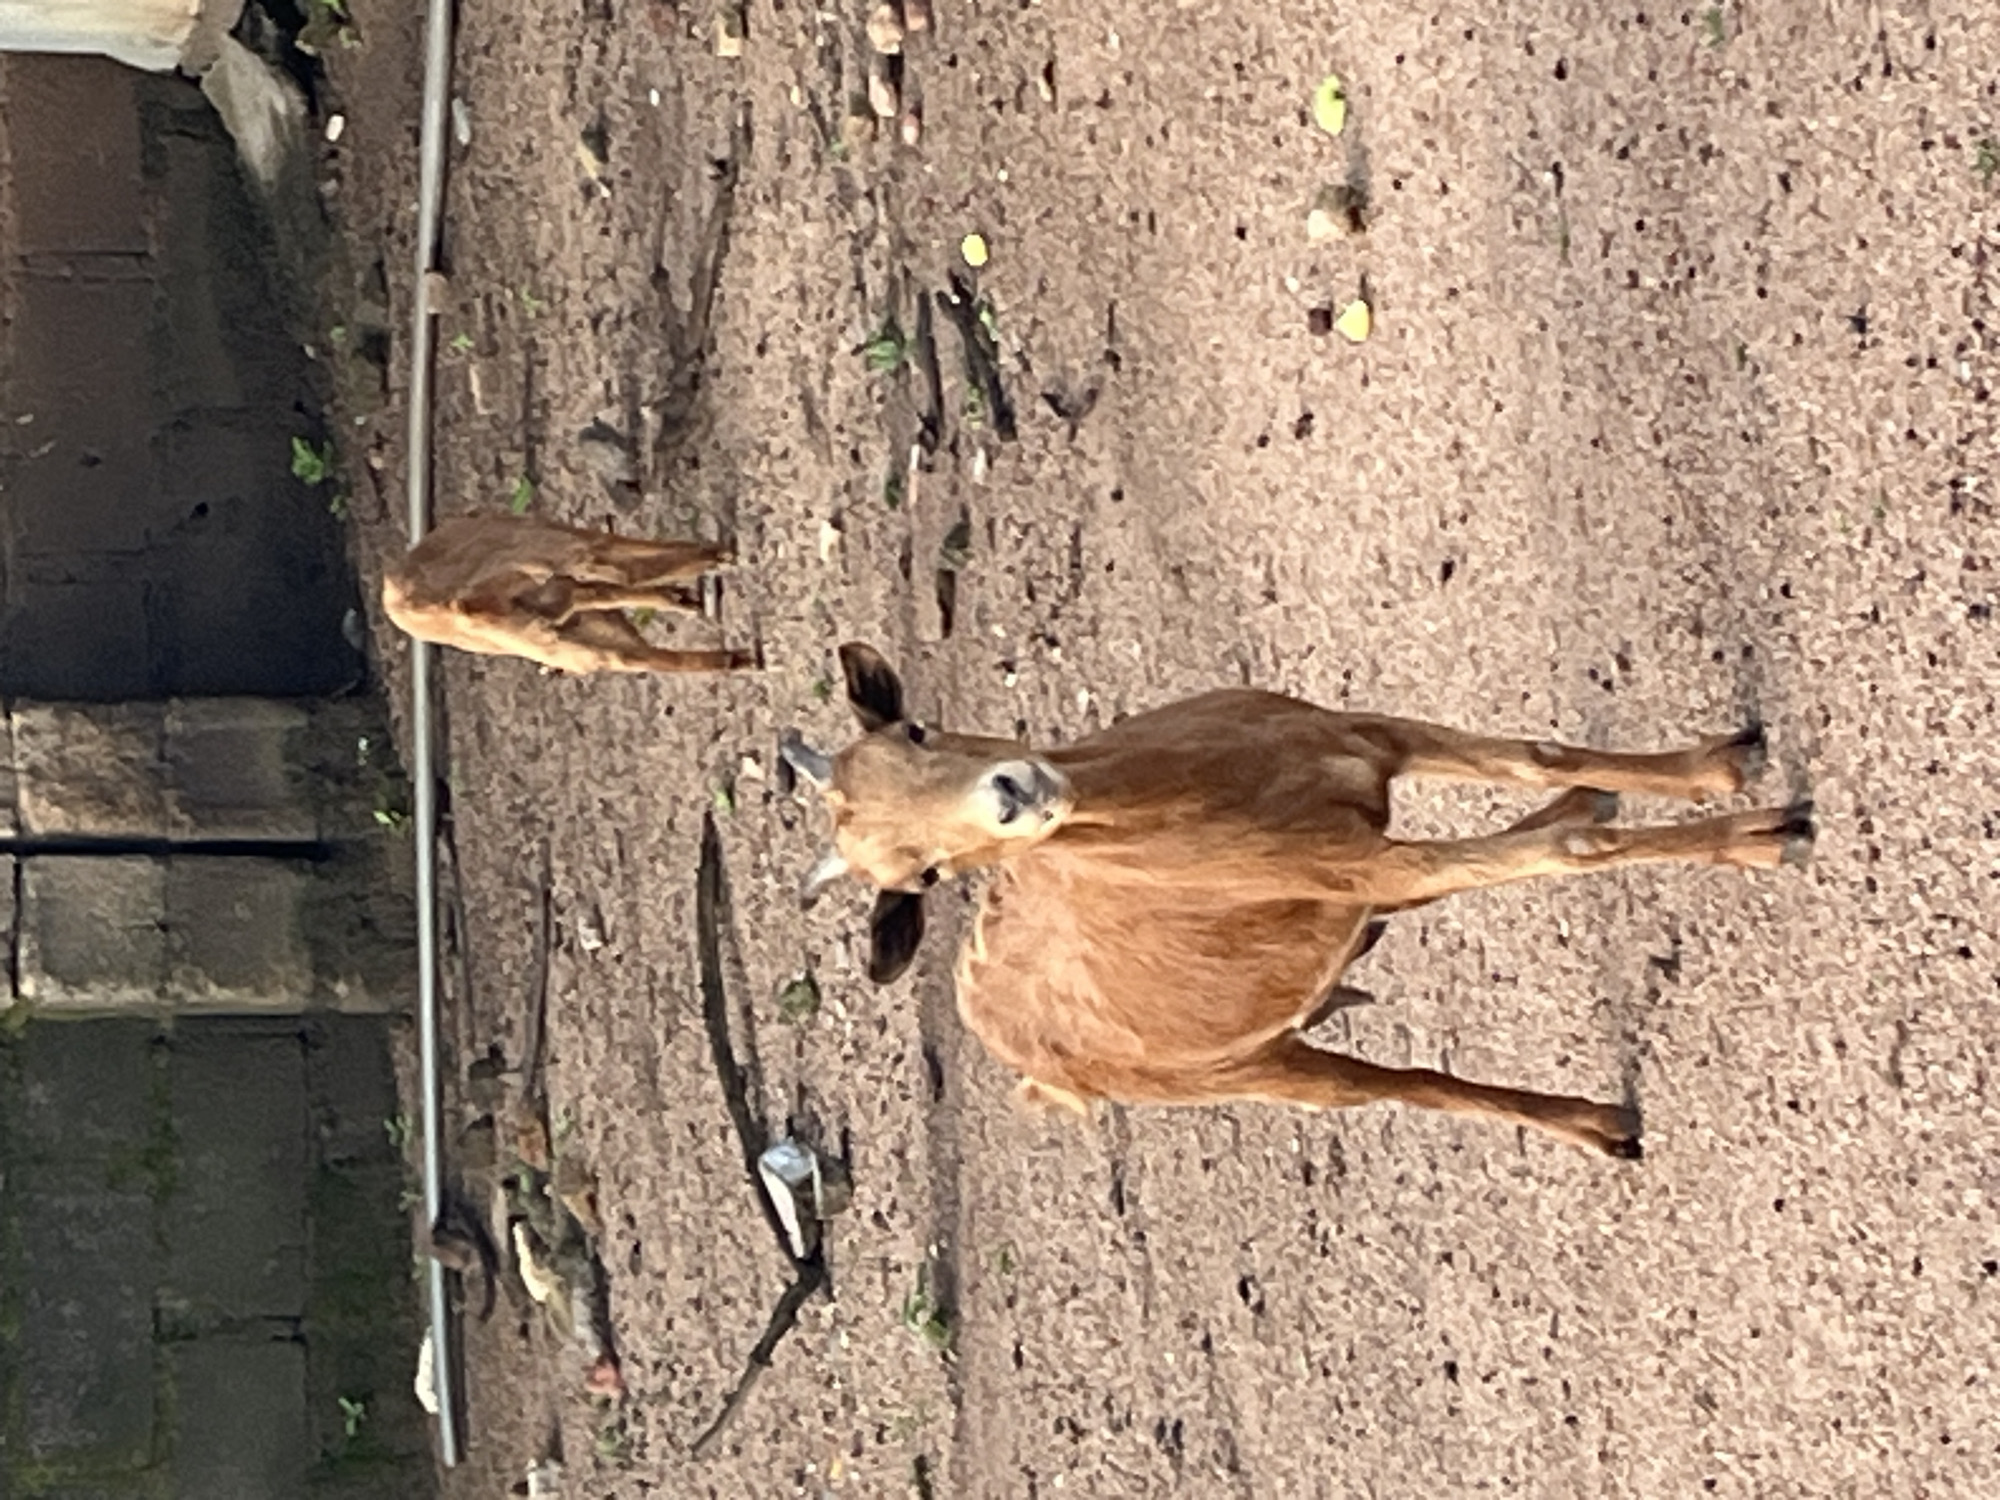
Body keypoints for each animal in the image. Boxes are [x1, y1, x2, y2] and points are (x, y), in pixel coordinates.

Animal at [381, 512, 756, 674]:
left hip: (572, 645)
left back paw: (733, 658)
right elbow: (624, 571)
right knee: (618, 573)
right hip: (566, 552)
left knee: (637, 653)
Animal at [780, 644, 1814, 1157]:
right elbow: (1561, 855)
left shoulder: (1368, 738)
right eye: (921, 875)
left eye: (916, 730)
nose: (1013, 795)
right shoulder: (1360, 869)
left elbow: (1536, 752)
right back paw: (1604, 1130)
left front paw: (1723, 763)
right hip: (1257, 1072)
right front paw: (1767, 836)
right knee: (1412, 1085)